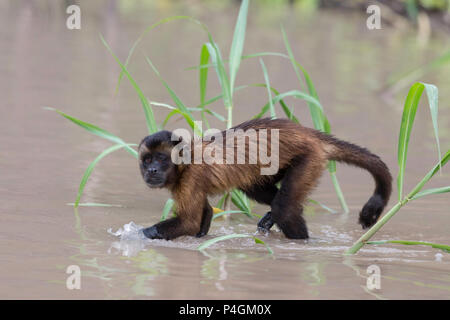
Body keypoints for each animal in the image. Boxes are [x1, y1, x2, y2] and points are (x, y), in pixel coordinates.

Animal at [137, 117, 390, 240]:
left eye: (161, 159)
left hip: (309, 158)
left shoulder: (191, 178)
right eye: (147, 160)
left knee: (284, 208)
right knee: (258, 188)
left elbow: (188, 222)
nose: (152, 171)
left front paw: (138, 235)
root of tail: (309, 134)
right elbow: (204, 215)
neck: (184, 164)